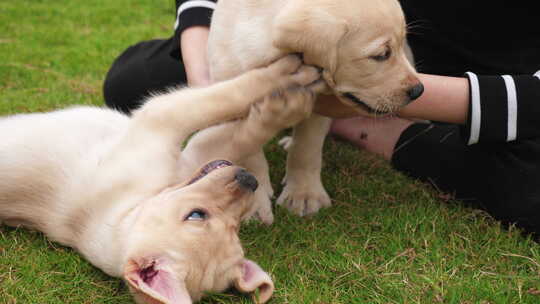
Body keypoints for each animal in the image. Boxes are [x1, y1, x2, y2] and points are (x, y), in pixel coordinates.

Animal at [0, 55, 320, 302]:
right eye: (196, 214)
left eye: (235, 228)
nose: (249, 179)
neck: (127, 211)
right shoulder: (163, 118)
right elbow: (228, 96)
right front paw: (291, 84)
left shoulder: (194, 153)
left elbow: (244, 132)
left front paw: (280, 109)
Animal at [207, 0, 422, 221]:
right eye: (381, 55)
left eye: (398, 45)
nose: (419, 90)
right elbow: (249, 152)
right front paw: (253, 204)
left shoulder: (316, 103)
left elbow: (306, 148)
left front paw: (304, 195)